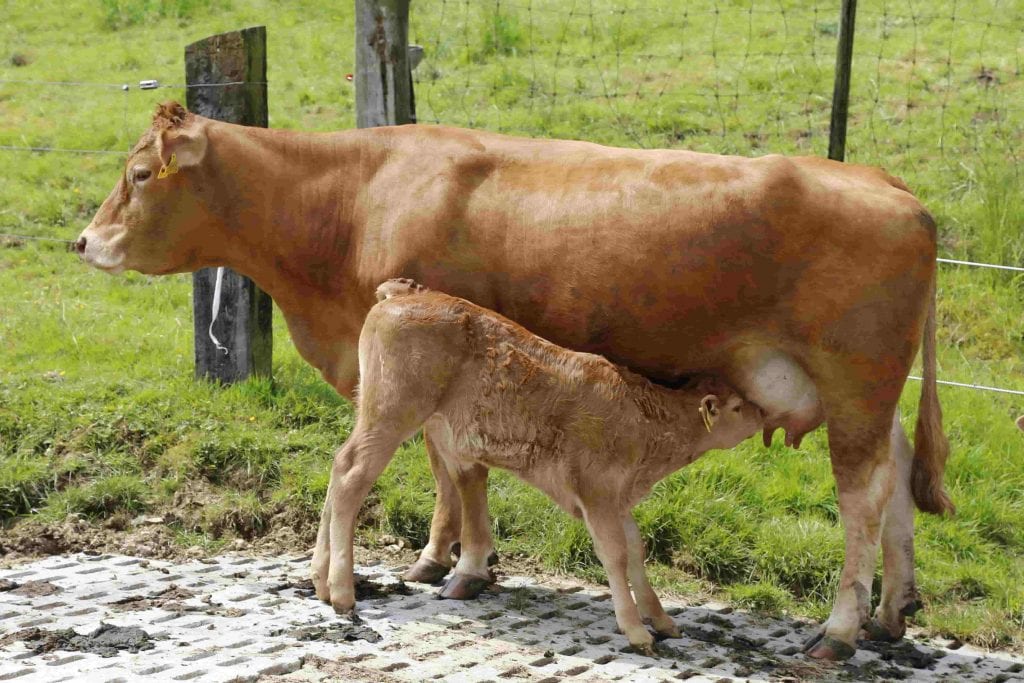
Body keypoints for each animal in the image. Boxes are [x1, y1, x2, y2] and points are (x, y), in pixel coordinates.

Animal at [316, 278, 764, 653]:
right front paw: (636, 630)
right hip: (393, 410)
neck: (644, 422)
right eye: (737, 406)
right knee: (353, 476)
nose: (762, 413)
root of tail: (406, 293)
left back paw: (320, 578)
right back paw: (341, 591)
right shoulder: (597, 491)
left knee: (339, 465)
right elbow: (615, 554)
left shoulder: (618, 496)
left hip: (374, 409)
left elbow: (637, 550)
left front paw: (661, 620)